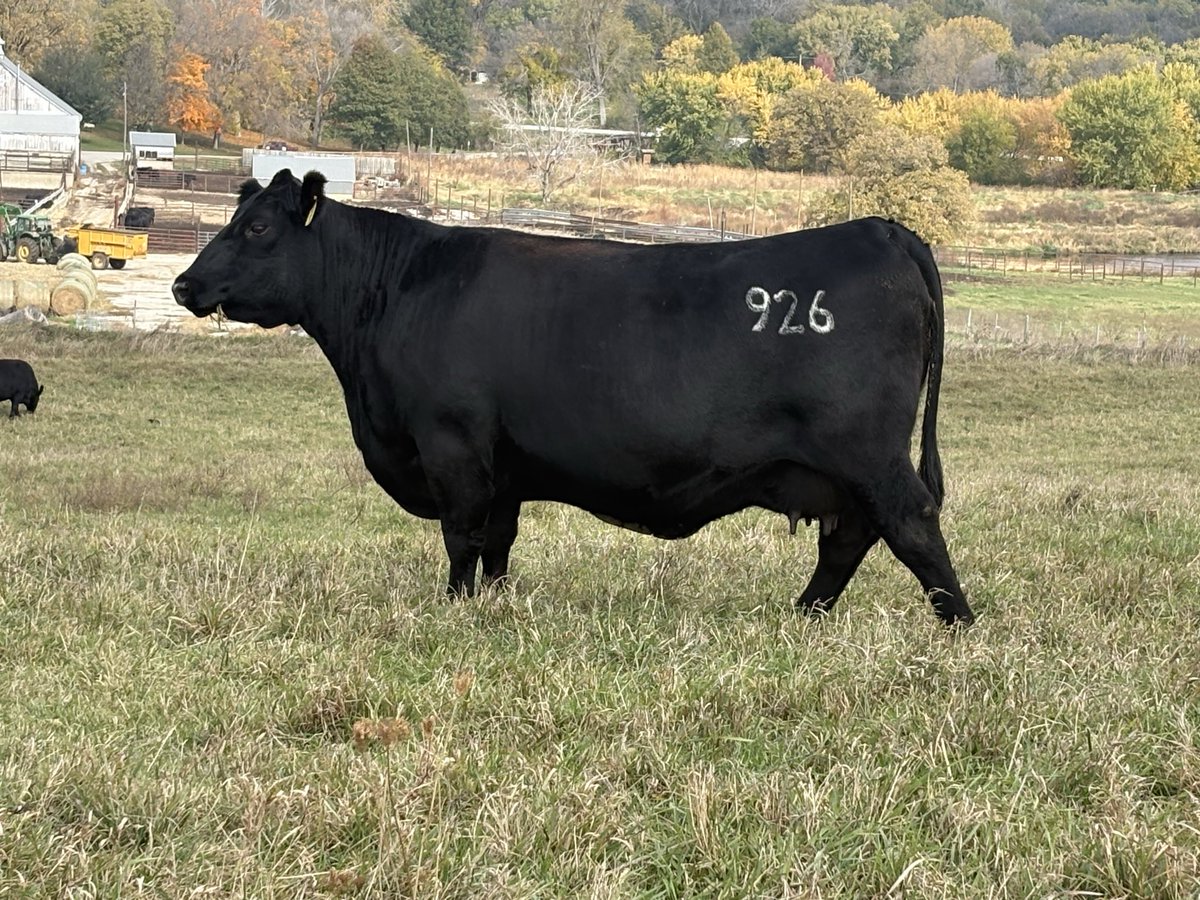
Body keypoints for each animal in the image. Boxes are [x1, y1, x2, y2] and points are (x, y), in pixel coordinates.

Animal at [172, 170, 974, 626]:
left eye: (257, 226)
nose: (184, 284)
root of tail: (883, 228)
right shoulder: (504, 467)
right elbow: (497, 541)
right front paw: (494, 606)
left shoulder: (451, 444)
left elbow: (460, 535)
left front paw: (454, 610)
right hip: (839, 468)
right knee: (851, 536)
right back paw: (802, 617)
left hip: (867, 450)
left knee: (910, 523)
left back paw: (959, 625)